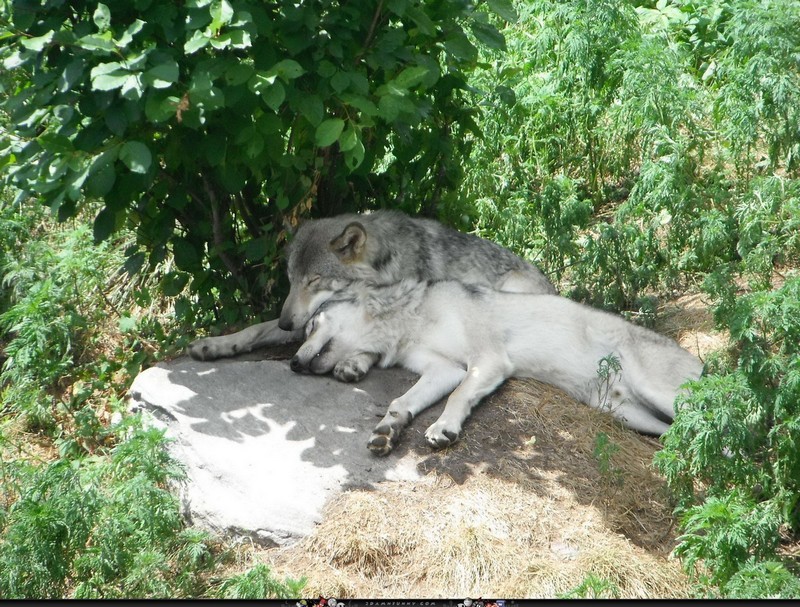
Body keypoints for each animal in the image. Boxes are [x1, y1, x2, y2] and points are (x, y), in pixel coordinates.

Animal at [188, 210, 556, 376]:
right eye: (291, 279)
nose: (286, 324)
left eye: (314, 281)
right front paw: (215, 344)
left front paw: (355, 360)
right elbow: (255, 329)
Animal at [289, 279, 704, 455]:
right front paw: (388, 431)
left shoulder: (486, 362)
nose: (292, 363)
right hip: (624, 413)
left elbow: (457, 398)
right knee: (675, 433)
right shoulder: (444, 370)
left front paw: (443, 428)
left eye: (311, 325)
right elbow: (400, 402)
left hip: (663, 396)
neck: (411, 319)